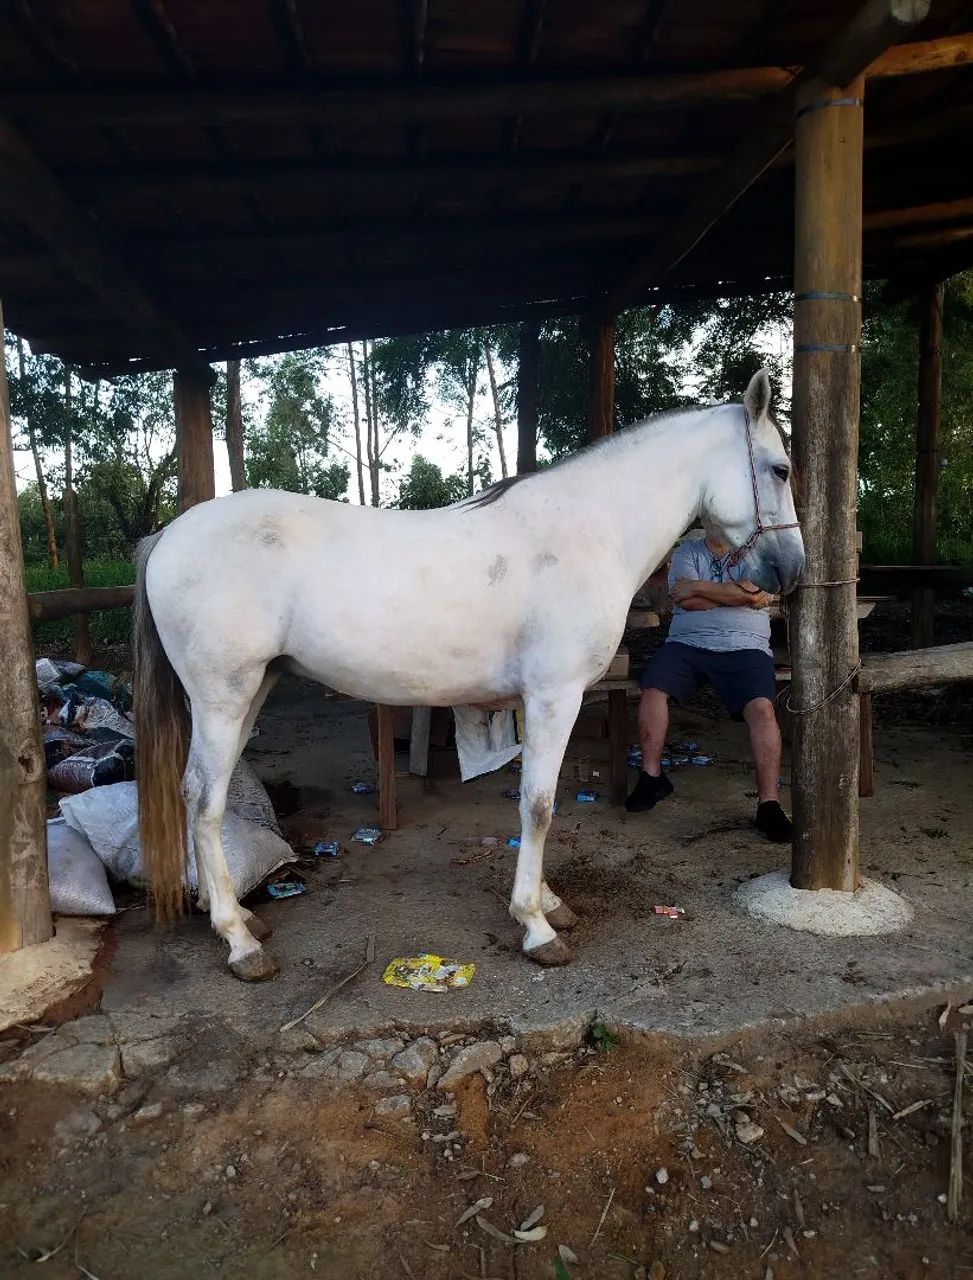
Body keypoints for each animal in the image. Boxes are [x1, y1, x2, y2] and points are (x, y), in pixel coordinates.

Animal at [133, 369, 804, 982]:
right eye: (780, 469)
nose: (791, 571)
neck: (587, 532)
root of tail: (168, 535)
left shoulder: (539, 701)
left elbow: (535, 801)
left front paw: (549, 904)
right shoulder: (554, 696)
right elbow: (539, 805)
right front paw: (535, 926)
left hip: (251, 690)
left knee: (195, 794)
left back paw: (230, 914)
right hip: (223, 697)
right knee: (206, 801)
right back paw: (238, 941)